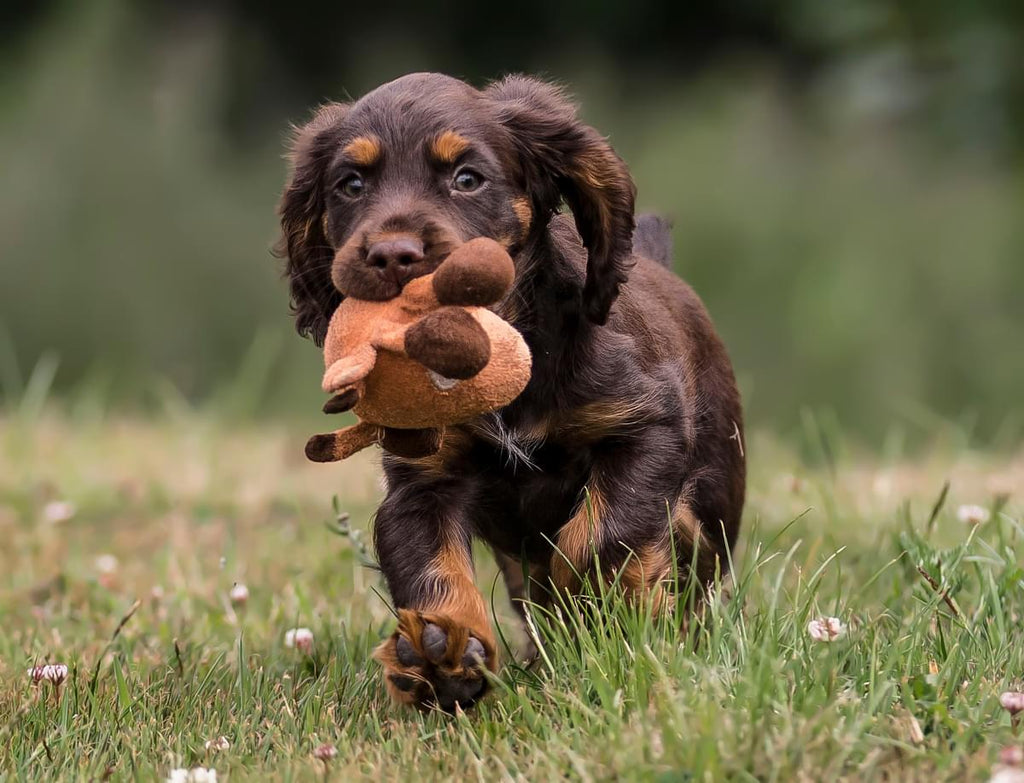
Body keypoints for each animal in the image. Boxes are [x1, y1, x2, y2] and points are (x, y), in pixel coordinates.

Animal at [278, 71, 745, 708]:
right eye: (350, 184)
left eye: (467, 178)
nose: (392, 255)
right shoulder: (423, 481)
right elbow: (429, 563)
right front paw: (442, 654)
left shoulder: (648, 422)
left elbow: (605, 534)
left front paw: (594, 602)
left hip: (711, 502)